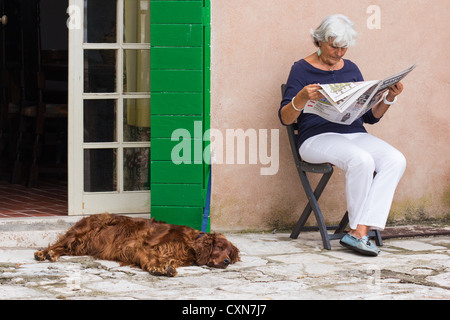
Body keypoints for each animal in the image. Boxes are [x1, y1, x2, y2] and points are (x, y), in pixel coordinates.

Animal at [34, 214, 239, 276]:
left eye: (230, 253)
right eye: (219, 247)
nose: (227, 261)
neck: (189, 243)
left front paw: (166, 267)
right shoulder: (140, 246)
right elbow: (152, 257)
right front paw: (160, 267)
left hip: (81, 245)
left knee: (64, 248)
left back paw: (52, 254)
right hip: (79, 234)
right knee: (58, 243)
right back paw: (44, 253)